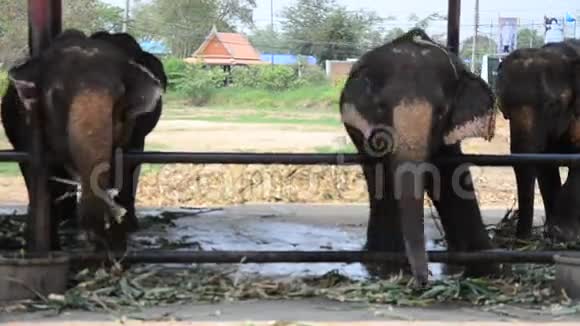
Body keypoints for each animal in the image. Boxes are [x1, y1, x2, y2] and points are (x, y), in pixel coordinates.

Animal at [1, 29, 165, 251]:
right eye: (57, 95)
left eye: (119, 97)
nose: (95, 237)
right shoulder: (25, 125)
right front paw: (50, 247)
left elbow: (120, 166)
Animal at [340, 28, 498, 286]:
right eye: (381, 107)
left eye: (442, 112)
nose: (423, 280)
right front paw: (390, 268)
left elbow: (451, 177)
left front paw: (488, 268)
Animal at [494, 39, 580, 241]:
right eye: (503, 106)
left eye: (553, 105)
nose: (520, 239)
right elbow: (544, 167)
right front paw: (552, 233)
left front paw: (564, 234)